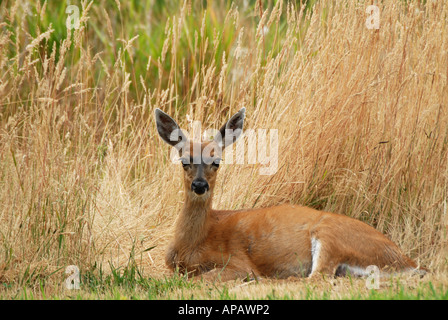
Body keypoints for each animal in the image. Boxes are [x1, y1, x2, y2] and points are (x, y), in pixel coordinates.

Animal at [154, 108, 428, 282]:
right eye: (184, 161)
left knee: (316, 278)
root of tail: (408, 262)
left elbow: (198, 279)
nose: (200, 185)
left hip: (331, 234)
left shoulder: (237, 262)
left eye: (217, 162)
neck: (193, 242)